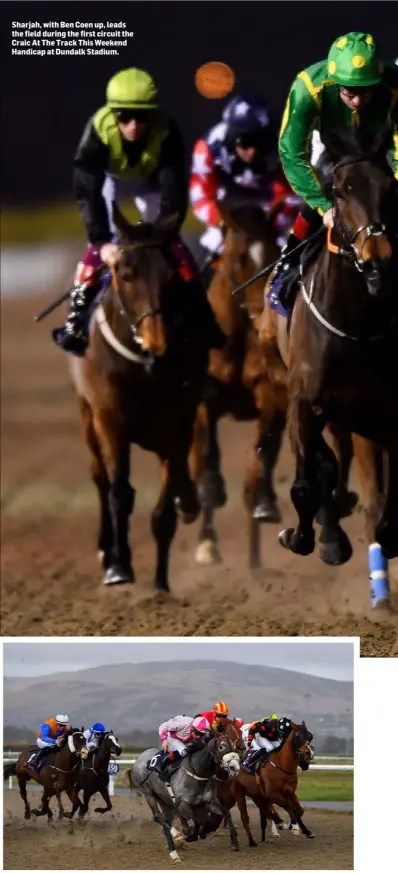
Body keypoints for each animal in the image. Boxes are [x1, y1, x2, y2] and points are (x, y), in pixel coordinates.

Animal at [68, 204, 207, 588]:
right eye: (127, 274)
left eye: (171, 276)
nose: (158, 345)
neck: (144, 367)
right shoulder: (109, 417)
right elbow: (119, 492)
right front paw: (119, 565)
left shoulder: (177, 421)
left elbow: (165, 505)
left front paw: (160, 582)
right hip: (87, 417)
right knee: (100, 479)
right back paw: (106, 549)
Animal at [189, 204, 286, 572]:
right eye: (240, 256)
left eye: (275, 252)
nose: (264, 312)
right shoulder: (204, 396)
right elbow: (206, 459)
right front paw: (207, 544)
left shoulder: (269, 392)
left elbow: (261, 454)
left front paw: (264, 505)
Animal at [262, 153, 398, 604]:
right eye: (339, 191)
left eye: (389, 188)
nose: (377, 259)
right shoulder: (303, 401)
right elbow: (308, 481)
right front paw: (310, 538)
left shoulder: (385, 413)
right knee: (324, 464)